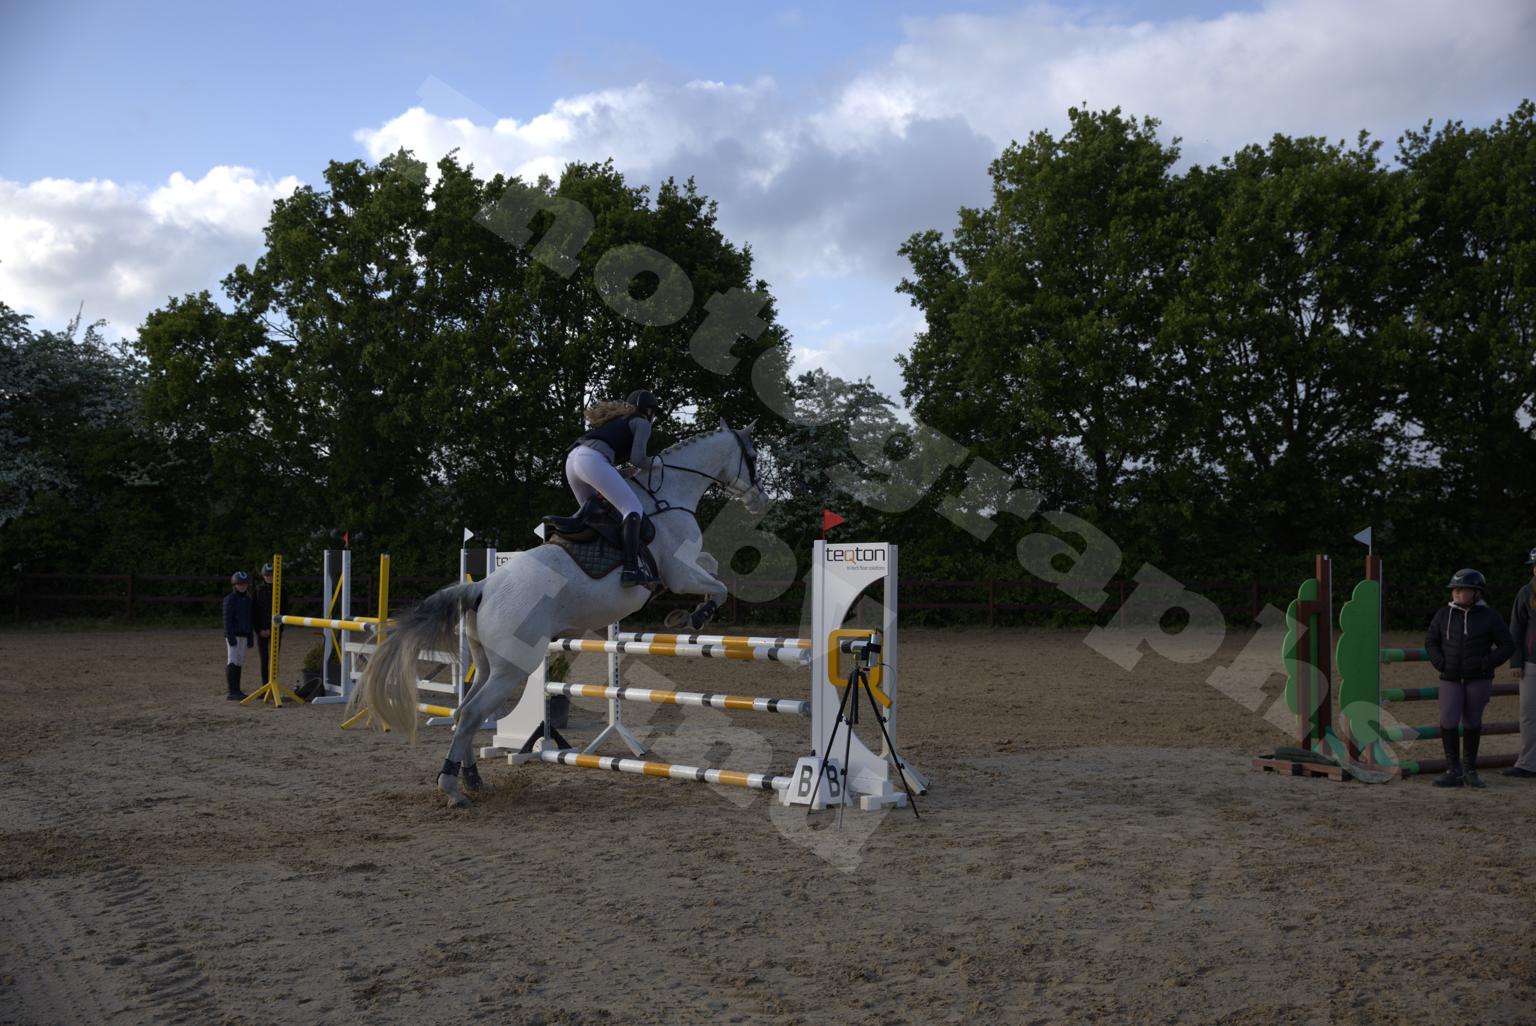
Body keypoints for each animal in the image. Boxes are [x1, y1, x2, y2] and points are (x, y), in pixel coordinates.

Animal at [353, 421, 770, 806]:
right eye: (752, 456)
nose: (761, 500)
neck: (669, 495)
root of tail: (481, 587)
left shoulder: (684, 570)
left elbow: (713, 567)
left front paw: (684, 616)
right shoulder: (679, 573)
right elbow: (717, 585)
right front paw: (692, 617)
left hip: (488, 665)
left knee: (463, 713)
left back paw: (473, 779)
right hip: (513, 667)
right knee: (470, 716)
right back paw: (453, 787)